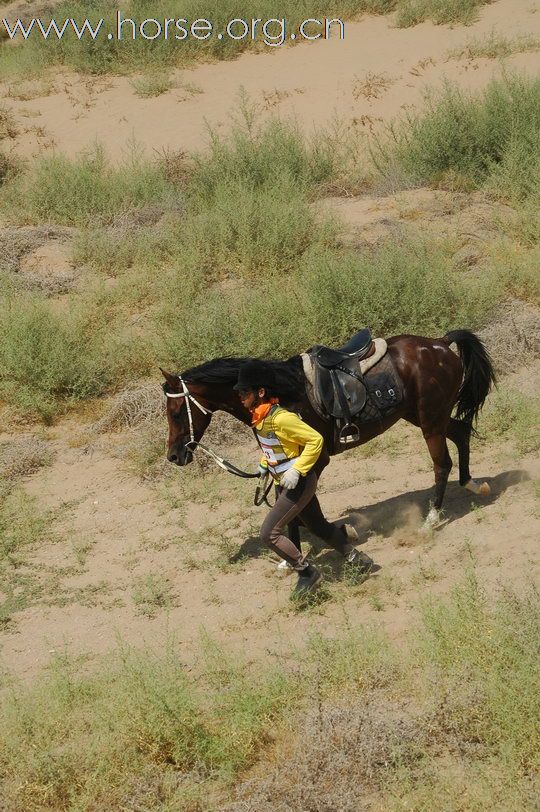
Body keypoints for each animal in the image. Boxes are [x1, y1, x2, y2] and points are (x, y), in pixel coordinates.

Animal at [162, 328, 496, 528]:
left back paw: (431, 520)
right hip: (424, 416)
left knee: (442, 463)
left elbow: (300, 502)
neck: (280, 393)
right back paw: (473, 484)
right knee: (461, 433)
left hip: (430, 421)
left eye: (176, 413)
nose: (174, 456)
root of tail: (440, 344)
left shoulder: (314, 459)